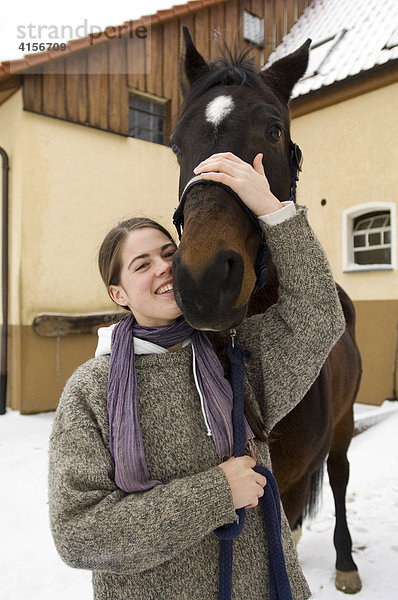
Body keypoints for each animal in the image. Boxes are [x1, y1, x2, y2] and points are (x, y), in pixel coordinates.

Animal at [169, 25, 362, 592]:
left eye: (274, 131)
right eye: (176, 142)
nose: (204, 280)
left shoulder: (295, 480)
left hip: (344, 426)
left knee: (339, 479)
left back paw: (346, 561)